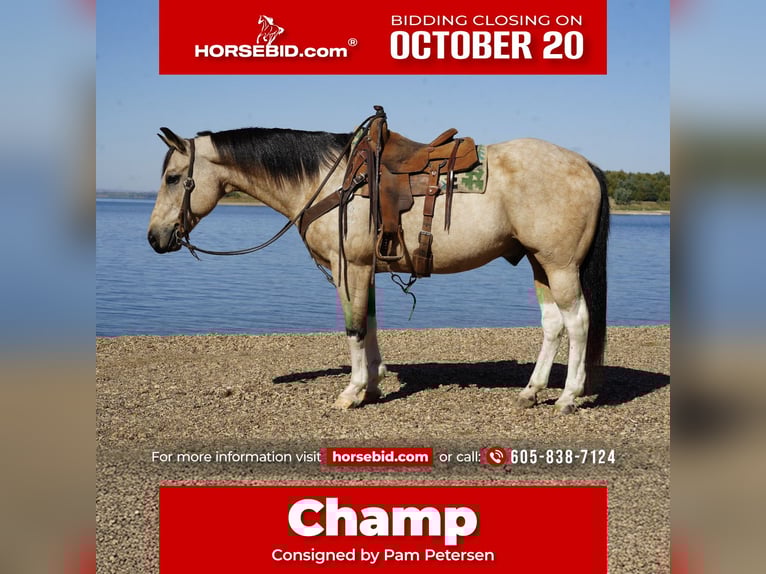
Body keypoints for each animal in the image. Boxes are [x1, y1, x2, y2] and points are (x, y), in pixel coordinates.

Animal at [147, 116, 609, 414]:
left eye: (172, 177)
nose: (154, 237)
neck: (330, 182)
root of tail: (585, 164)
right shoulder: (364, 269)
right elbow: (367, 324)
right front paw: (370, 386)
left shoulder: (348, 266)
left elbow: (353, 328)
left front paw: (351, 392)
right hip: (539, 263)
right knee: (552, 324)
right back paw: (532, 391)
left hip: (561, 265)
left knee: (577, 322)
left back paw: (568, 397)